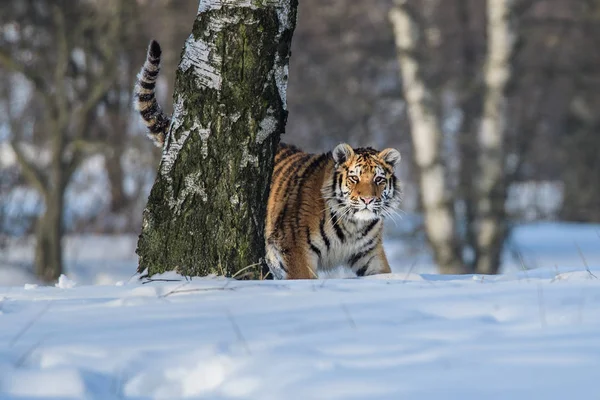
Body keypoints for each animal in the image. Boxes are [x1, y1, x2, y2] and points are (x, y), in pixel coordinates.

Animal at [134, 39, 400, 278]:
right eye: (354, 178)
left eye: (378, 180)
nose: (367, 200)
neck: (354, 225)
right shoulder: (294, 249)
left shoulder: (369, 255)